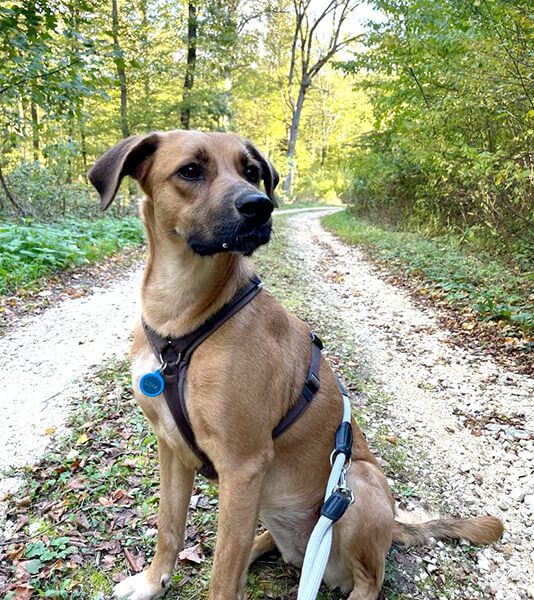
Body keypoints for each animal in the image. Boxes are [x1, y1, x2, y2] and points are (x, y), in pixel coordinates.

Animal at [89, 130, 503, 600]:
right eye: (190, 170)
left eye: (251, 171)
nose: (259, 206)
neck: (180, 315)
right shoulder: (172, 448)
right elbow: (169, 528)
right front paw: (152, 581)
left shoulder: (242, 465)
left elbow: (222, 577)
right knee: (261, 547)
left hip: (356, 485)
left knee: (370, 578)